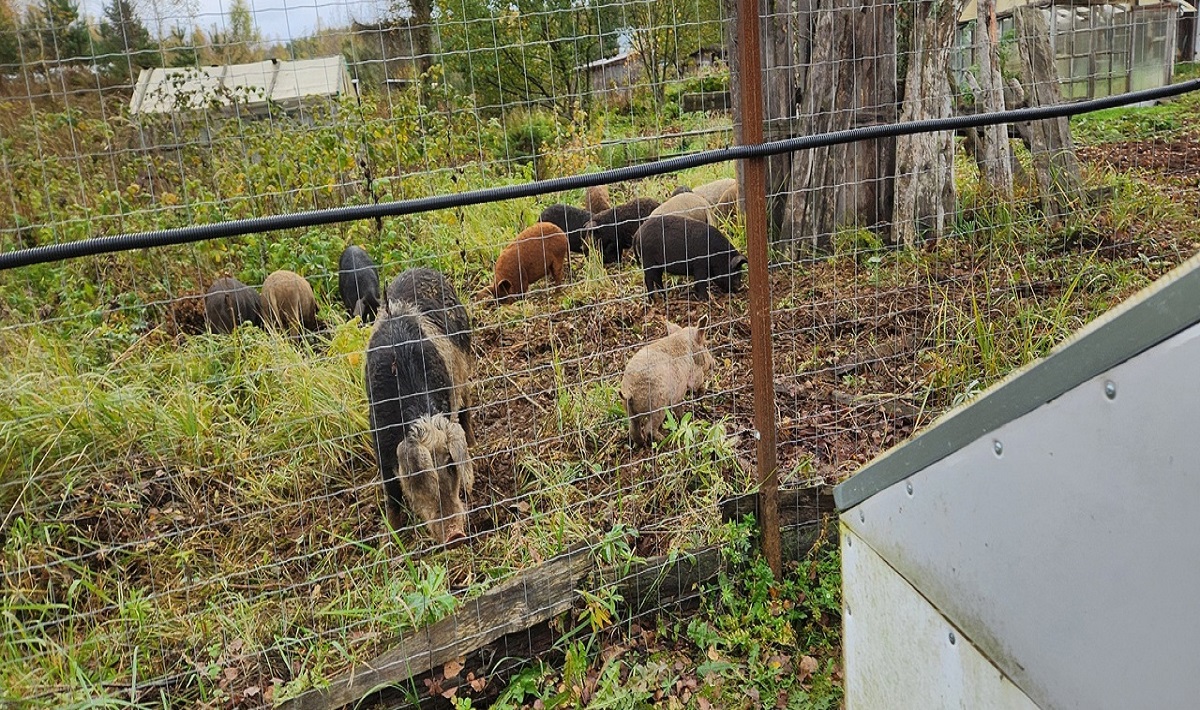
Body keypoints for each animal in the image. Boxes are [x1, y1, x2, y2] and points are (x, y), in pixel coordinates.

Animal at [367, 267, 475, 544]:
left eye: (450, 465)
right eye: (420, 475)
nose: (455, 534)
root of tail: (419, 269)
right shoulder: (381, 446)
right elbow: (392, 496)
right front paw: (390, 539)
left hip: (465, 364)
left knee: (466, 406)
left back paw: (472, 442)